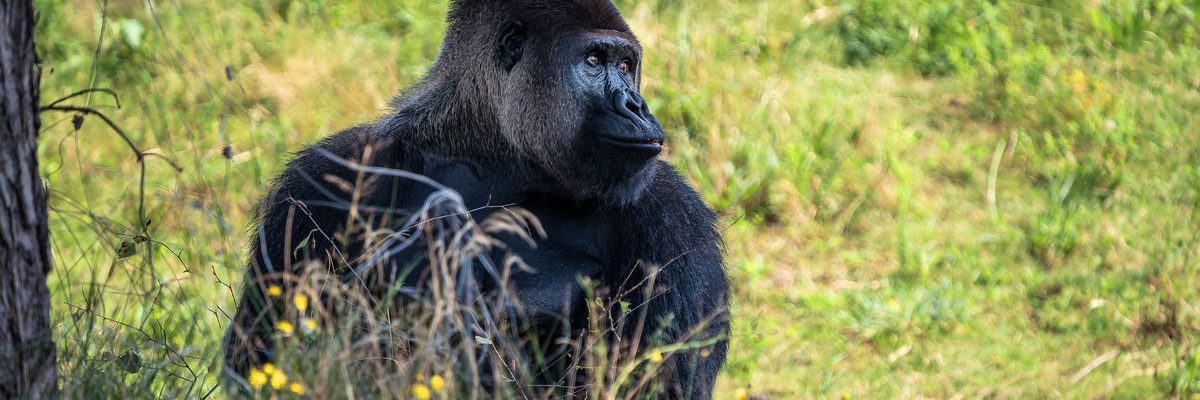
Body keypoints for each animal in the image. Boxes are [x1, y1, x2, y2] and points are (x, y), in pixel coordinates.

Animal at [224, 1, 728, 398]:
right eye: (593, 60)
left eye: (626, 66)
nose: (636, 106)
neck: (491, 155)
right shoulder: (322, 178)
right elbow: (259, 358)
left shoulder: (671, 214)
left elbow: (657, 381)